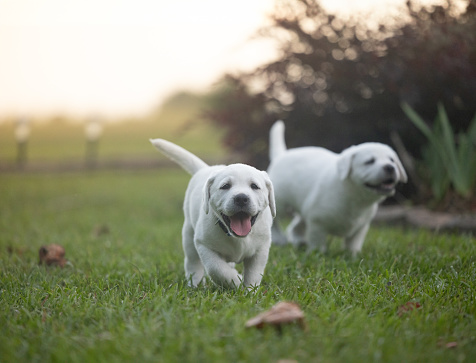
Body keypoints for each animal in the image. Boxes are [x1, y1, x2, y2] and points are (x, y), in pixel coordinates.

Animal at [149, 139, 276, 290]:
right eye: (225, 186)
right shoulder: (204, 245)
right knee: (192, 262)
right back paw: (195, 284)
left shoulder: (261, 250)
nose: (241, 198)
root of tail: (205, 168)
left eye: (254, 186)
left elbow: (254, 273)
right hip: (188, 235)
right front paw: (235, 280)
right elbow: (218, 269)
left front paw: (250, 291)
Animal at [266, 121, 408, 256]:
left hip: (304, 208)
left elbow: (354, 243)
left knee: (295, 226)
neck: (356, 198)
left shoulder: (361, 227)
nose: (390, 167)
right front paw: (317, 253)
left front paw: (353, 256)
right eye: (369, 161)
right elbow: (317, 241)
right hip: (280, 203)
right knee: (276, 220)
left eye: (392, 160)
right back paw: (279, 239)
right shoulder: (317, 222)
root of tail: (282, 155)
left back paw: (299, 242)